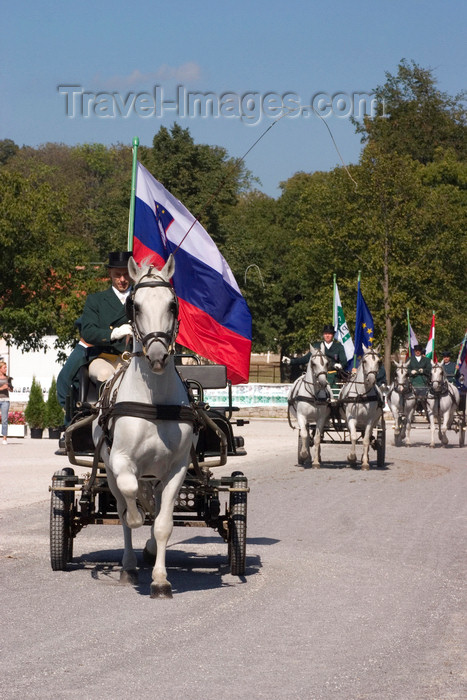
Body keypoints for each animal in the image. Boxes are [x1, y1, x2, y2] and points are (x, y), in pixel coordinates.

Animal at [94, 254, 197, 600]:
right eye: (134, 306)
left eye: (172, 305)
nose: (157, 355)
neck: (154, 404)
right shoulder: (121, 461)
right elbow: (130, 507)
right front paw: (136, 518)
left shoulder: (177, 469)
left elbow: (164, 524)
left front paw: (161, 580)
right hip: (112, 470)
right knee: (124, 508)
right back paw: (128, 565)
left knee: (154, 504)